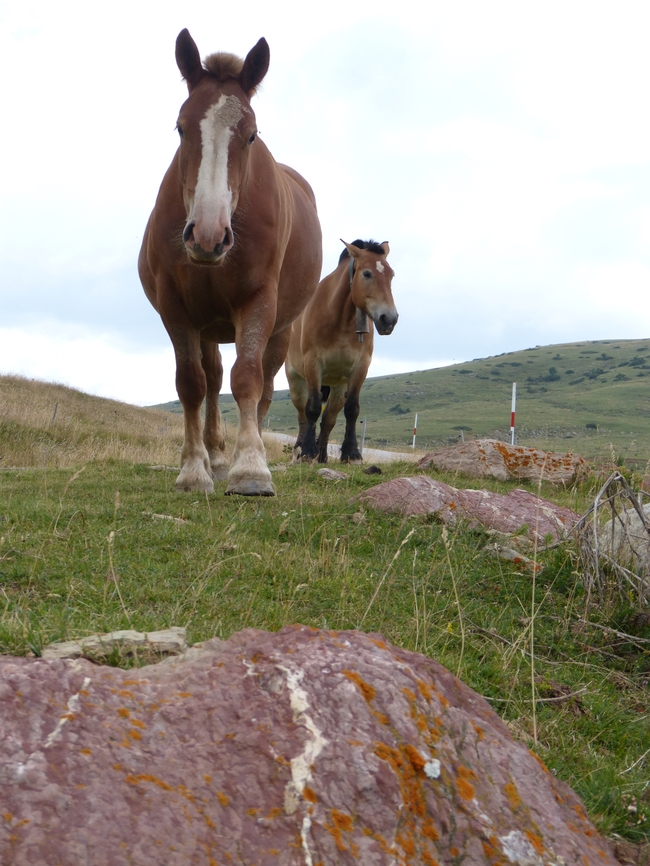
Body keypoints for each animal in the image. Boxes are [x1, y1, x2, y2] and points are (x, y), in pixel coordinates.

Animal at [138, 30, 322, 495]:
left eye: (252, 135)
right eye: (181, 127)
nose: (208, 235)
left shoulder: (258, 303)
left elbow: (249, 378)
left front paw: (251, 468)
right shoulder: (176, 308)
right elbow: (191, 384)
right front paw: (193, 469)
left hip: (281, 329)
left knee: (264, 386)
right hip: (206, 326)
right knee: (212, 378)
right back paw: (216, 457)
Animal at [285, 239, 398, 463]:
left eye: (391, 275)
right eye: (367, 274)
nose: (389, 319)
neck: (340, 321)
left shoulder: (360, 369)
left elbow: (352, 410)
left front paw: (351, 453)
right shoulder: (313, 365)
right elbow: (312, 409)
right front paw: (307, 451)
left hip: (337, 387)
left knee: (329, 418)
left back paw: (322, 456)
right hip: (295, 379)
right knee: (302, 413)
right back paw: (299, 450)